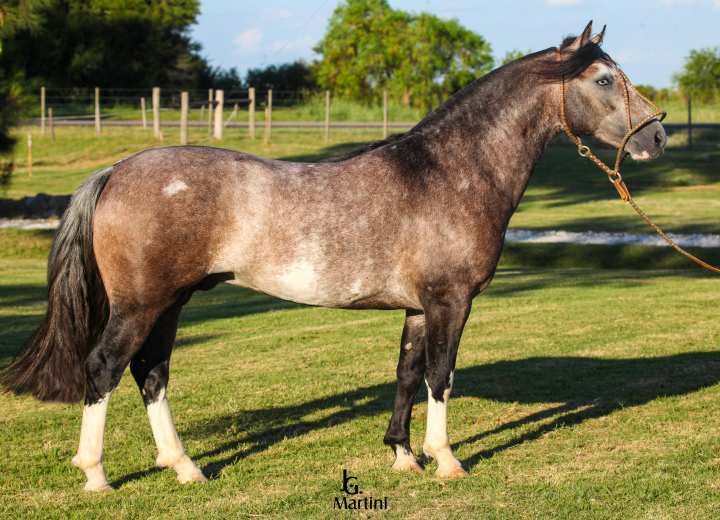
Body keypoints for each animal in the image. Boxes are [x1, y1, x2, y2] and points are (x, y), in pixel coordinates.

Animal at [1, 21, 664, 492]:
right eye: (604, 80)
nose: (657, 135)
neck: (452, 171)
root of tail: (116, 170)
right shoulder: (450, 303)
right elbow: (441, 376)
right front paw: (446, 460)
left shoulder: (418, 308)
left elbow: (407, 374)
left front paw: (403, 456)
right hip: (140, 305)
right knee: (104, 369)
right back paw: (96, 476)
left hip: (170, 303)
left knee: (152, 375)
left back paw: (185, 467)